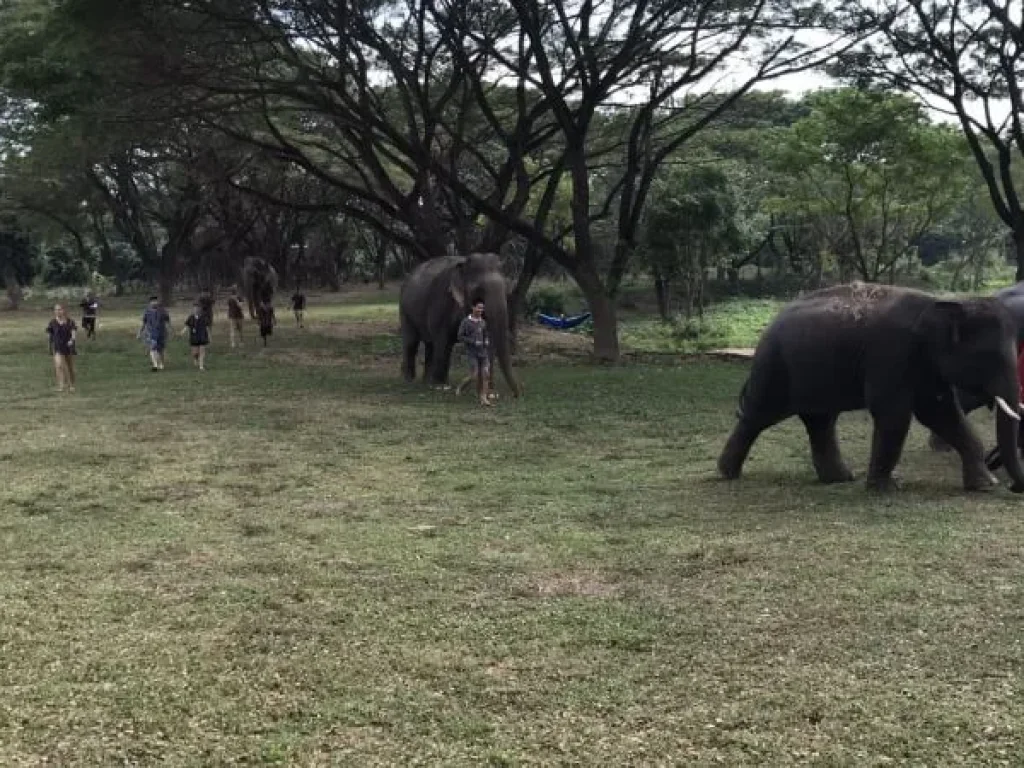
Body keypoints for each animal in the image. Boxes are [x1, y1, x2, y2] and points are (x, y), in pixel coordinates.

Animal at [399, 253, 524, 397]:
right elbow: (443, 341)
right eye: (478, 290)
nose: (517, 395)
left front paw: (490, 391)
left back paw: (426, 382)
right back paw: (410, 380)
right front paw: (440, 387)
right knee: (411, 342)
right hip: (405, 310)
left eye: (506, 289)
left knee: (430, 345)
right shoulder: (441, 301)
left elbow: (489, 342)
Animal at [716, 282, 1024, 493]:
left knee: (820, 421)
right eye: (990, 357)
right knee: (758, 416)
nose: (1013, 488)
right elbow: (893, 413)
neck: (942, 303)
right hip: (774, 366)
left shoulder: (924, 364)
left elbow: (940, 412)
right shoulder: (891, 352)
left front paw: (985, 485)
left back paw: (839, 479)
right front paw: (885, 489)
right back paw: (727, 474)